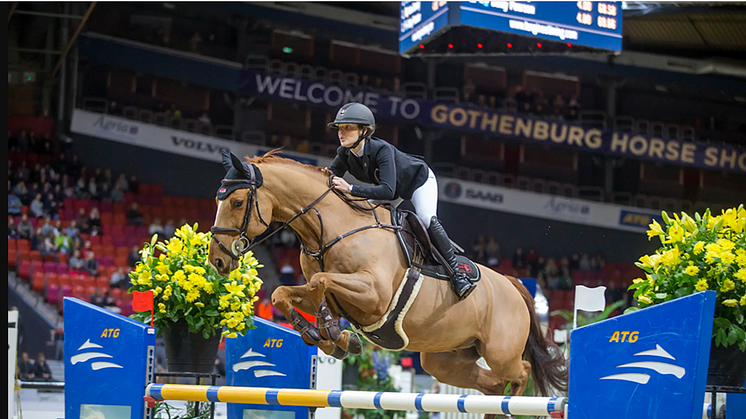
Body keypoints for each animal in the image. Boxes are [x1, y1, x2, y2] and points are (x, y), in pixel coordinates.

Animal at [206, 152, 568, 404]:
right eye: (217, 200)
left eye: (237, 201)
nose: (218, 261)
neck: (330, 229)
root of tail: (513, 284)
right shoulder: (325, 292)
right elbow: (285, 292)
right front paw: (325, 336)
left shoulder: (374, 295)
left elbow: (321, 280)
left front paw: (333, 332)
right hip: (445, 360)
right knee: (491, 384)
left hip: (500, 353)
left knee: (520, 373)